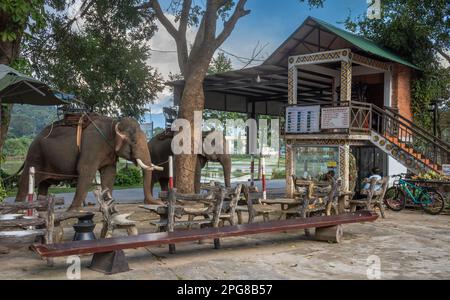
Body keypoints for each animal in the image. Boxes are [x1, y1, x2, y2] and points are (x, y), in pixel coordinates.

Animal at [14, 115, 163, 211]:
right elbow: (86, 171)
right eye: (134, 142)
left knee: (44, 184)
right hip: (35, 157)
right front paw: (73, 210)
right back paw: (18, 210)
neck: (114, 122)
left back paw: (42, 210)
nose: (160, 201)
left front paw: (108, 205)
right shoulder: (92, 145)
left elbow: (109, 173)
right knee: (25, 181)